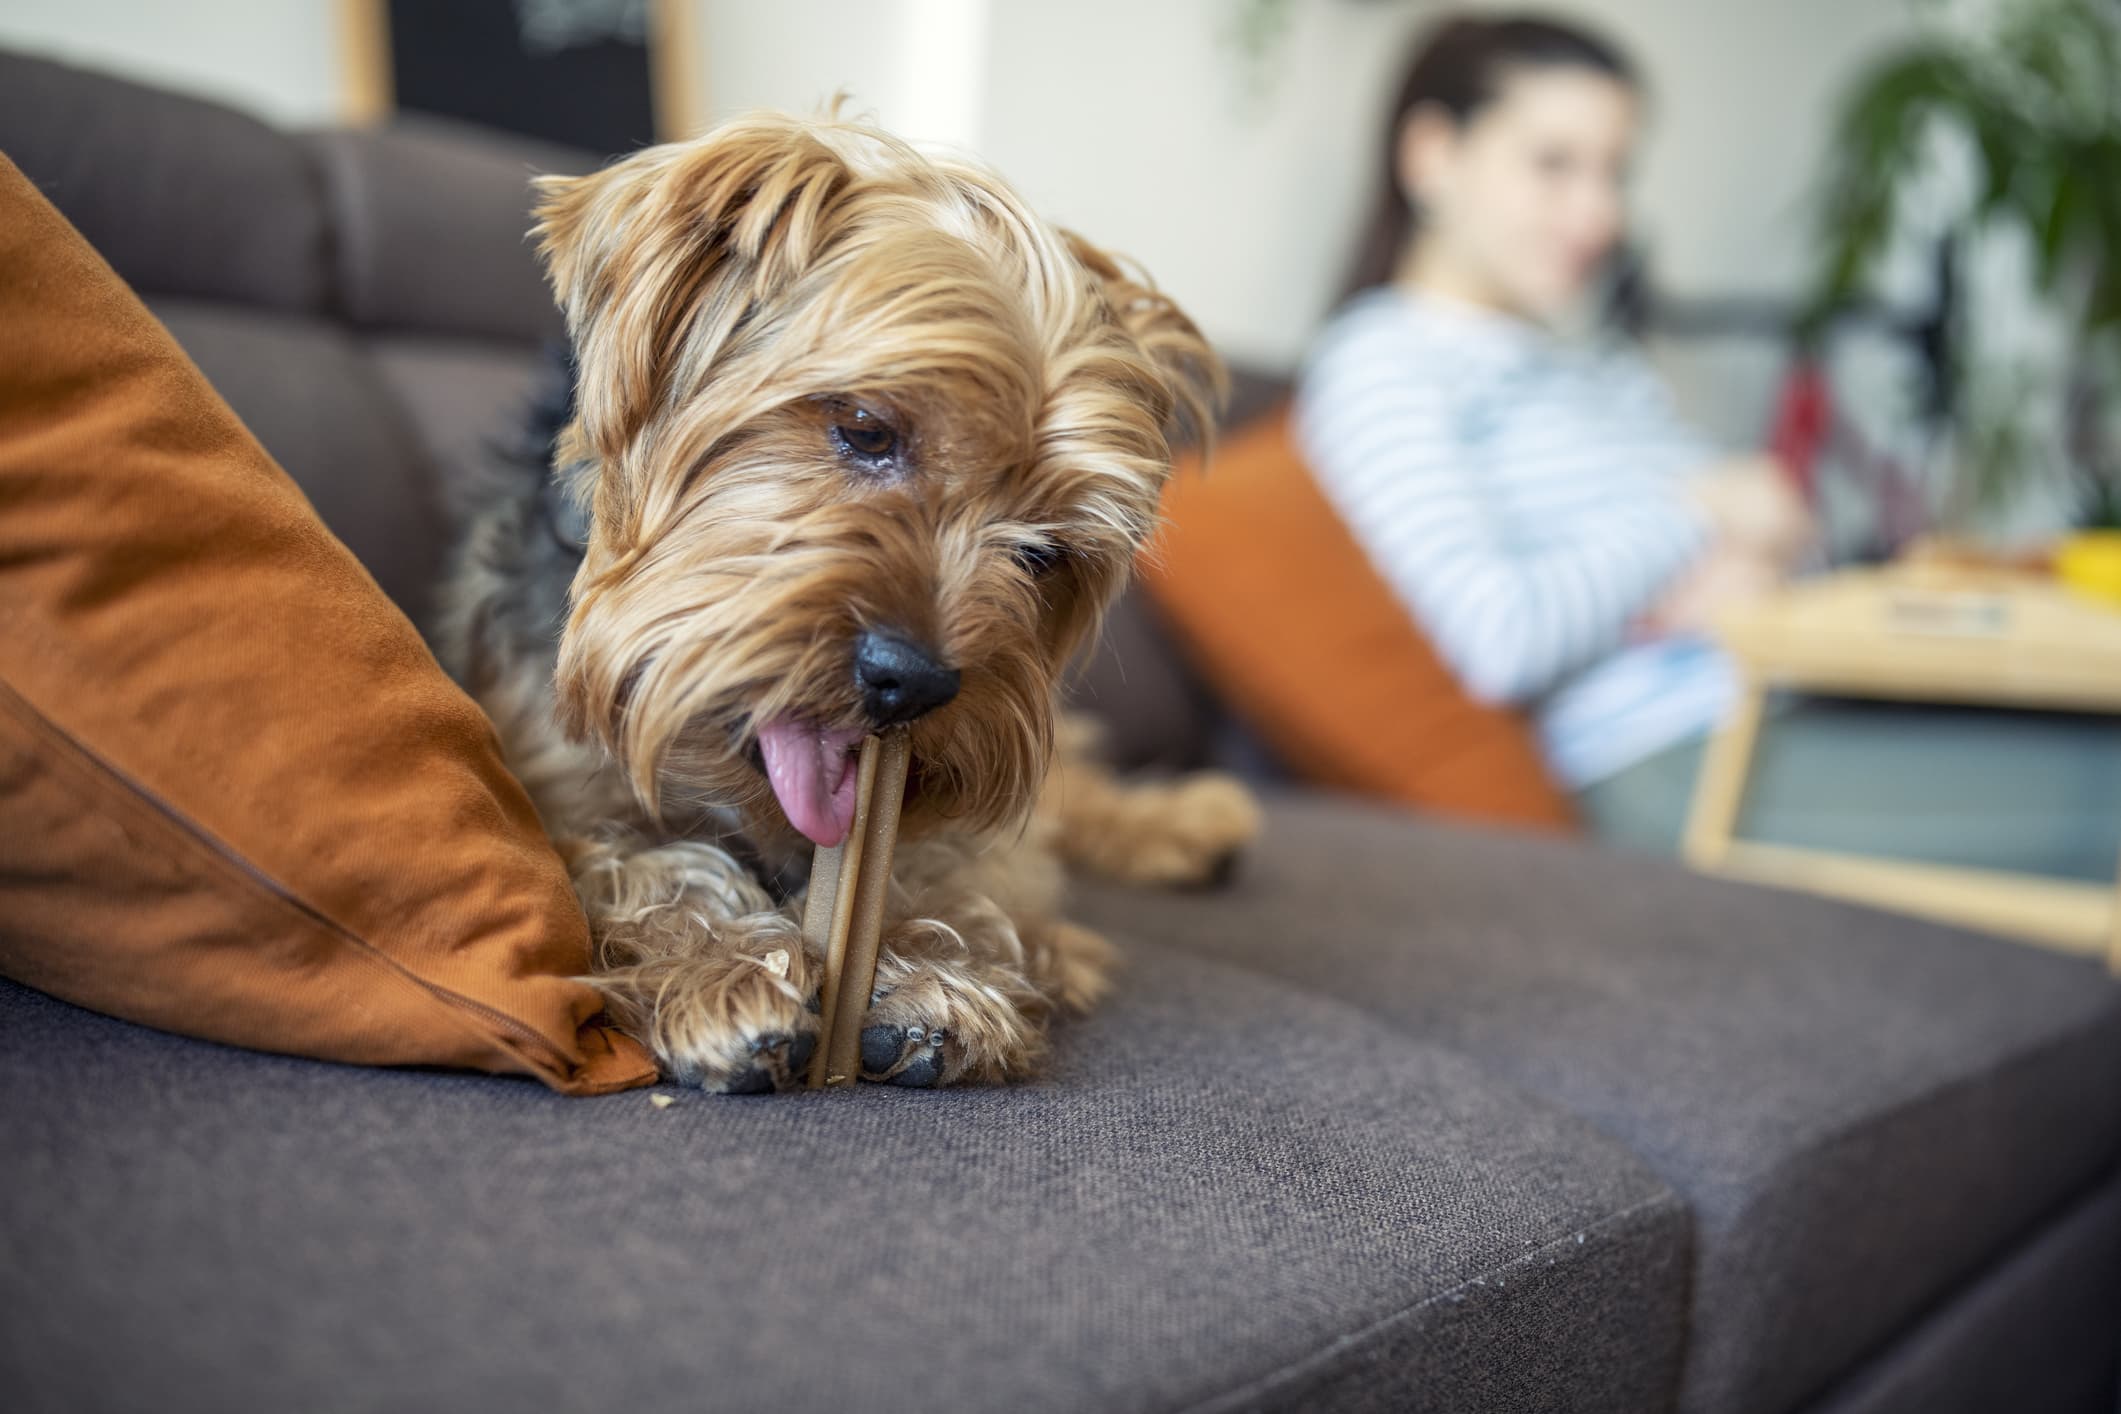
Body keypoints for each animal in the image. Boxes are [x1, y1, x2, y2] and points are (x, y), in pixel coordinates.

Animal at [436, 116, 1247, 1102]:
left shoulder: (971, 828)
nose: (915, 682)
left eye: (1044, 553)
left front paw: (934, 977)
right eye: (864, 429)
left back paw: (1193, 824)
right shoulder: (542, 776)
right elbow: (614, 865)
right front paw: (723, 967)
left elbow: (964, 872)